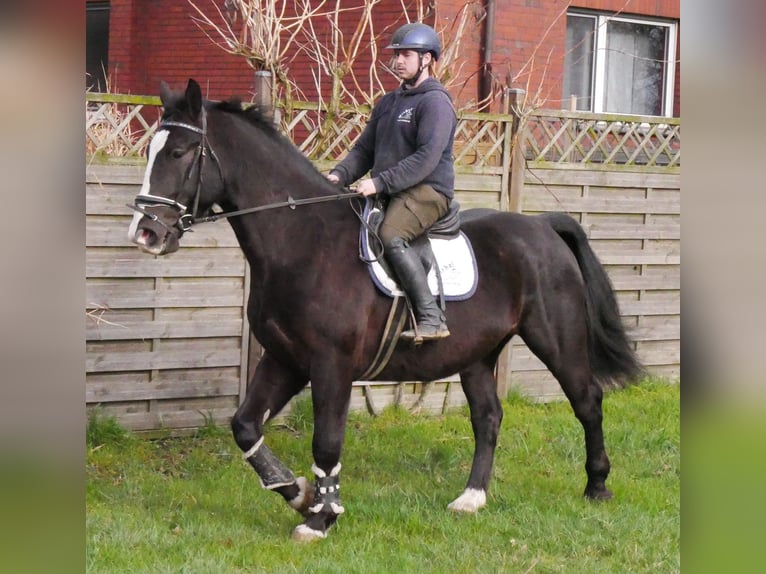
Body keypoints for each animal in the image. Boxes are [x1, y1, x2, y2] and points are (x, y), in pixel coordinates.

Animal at [127, 79, 643, 542]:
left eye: (179, 153)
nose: (145, 233)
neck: (304, 241)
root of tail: (542, 228)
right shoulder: (285, 359)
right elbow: (244, 426)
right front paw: (298, 493)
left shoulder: (330, 366)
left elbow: (326, 441)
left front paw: (321, 518)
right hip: (478, 355)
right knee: (488, 417)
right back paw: (471, 497)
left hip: (556, 339)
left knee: (587, 400)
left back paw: (597, 486)